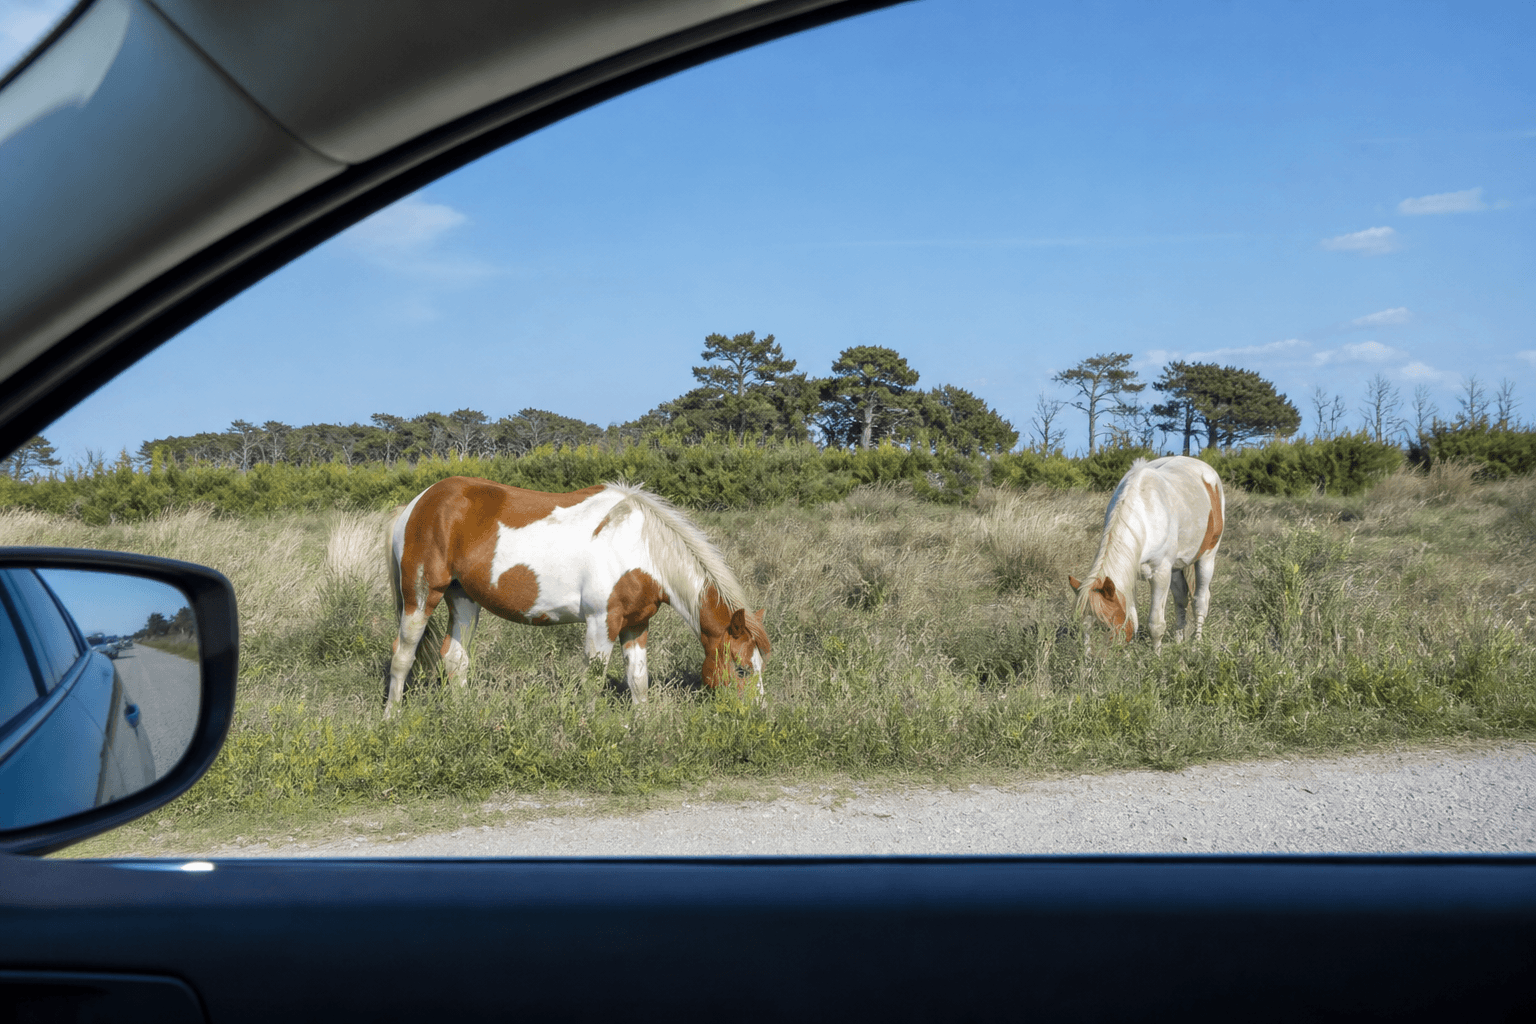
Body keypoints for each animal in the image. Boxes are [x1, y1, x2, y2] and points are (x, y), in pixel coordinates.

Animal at [383, 476, 770, 716]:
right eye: (741, 669)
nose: (758, 714)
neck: (641, 546)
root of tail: (418, 503)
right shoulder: (602, 621)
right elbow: (594, 680)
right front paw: (589, 726)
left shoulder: (637, 623)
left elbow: (638, 680)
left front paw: (642, 725)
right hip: (421, 596)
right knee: (402, 656)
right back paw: (392, 718)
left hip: (463, 599)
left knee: (454, 658)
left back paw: (464, 715)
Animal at [1068, 455, 1224, 651]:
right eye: (1082, 627)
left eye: (1106, 627)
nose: (1089, 659)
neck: (1145, 513)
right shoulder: (1131, 575)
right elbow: (1133, 621)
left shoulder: (1160, 574)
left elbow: (1156, 624)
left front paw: (1156, 655)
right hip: (1175, 568)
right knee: (1181, 599)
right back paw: (1179, 640)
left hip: (1207, 558)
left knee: (1200, 601)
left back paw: (1196, 643)